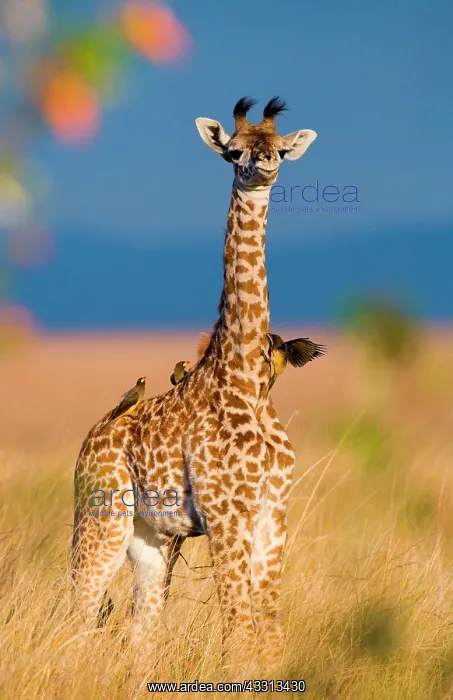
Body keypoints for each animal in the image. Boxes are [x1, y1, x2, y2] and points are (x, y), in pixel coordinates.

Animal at [71, 97, 317, 671]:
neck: (244, 381)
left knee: (139, 630)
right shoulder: (226, 514)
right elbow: (238, 633)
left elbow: (269, 633)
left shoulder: (274, 513)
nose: (262, 167)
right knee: (77, 613)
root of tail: (87, 443)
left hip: (150, 540)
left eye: (278, 150)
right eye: (234, 150)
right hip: (100, 520)